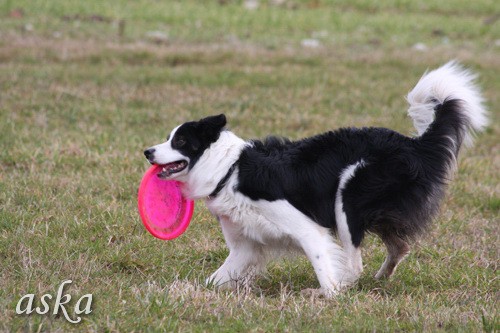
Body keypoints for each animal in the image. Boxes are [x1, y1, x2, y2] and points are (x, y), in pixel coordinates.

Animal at [144, 62, 484, 296]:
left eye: (181, 141)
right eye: (168, 138)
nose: (147, 152)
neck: (229, 170)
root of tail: (413, 144)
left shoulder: (308, 229)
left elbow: (324, 264)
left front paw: (329, 296)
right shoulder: (245, 247)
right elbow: (214, 279)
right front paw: (186, 291)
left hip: (347, 198)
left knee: (355, 265)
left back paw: (333, 290)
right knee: (398, 248)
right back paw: (379, 279)